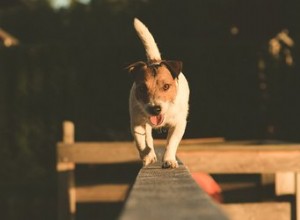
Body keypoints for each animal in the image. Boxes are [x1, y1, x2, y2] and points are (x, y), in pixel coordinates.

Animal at [127, 18, 190, 168]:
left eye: (166, 86)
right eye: (142, 88)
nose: (155, 109)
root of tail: (155, 60)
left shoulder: (179, 123)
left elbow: (171, 143)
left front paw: (169, 159)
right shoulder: (137, 123)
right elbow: (141, 143)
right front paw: (148, 156)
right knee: (148, 138)